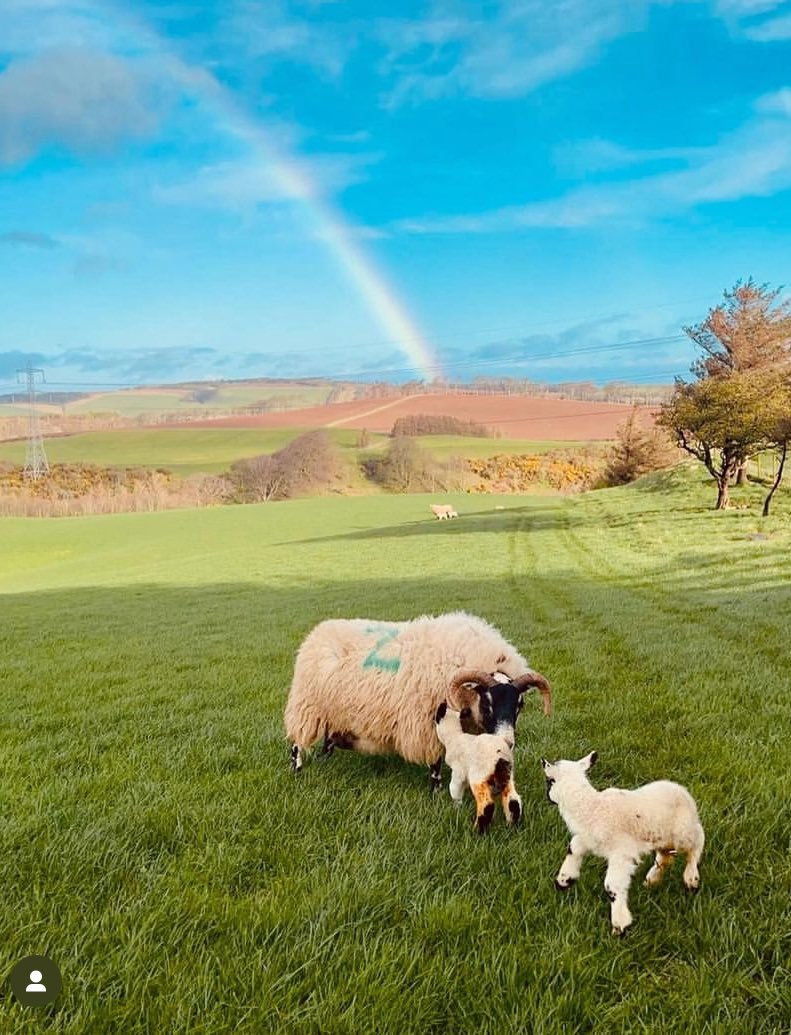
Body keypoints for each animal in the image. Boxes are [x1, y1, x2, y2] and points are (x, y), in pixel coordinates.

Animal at [283, 604, 550, 782]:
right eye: (487, 703)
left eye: (520, 705)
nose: (508, 741)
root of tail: (317, 633)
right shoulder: (428, 724)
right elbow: (436, 763)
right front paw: (437, 790)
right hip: (306, 707)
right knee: (296, 742)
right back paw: (297, 770)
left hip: (333, 710)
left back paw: (325, 757)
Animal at [432, 695, 519, 832]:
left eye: (436, 717)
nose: (431, 719)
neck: (454, 737)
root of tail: (500, 756)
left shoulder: (458, 770)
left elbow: (454, 789)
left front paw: (457, 807)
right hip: (508, 775)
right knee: (513, 800)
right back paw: (512, 826)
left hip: (479, 776)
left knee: (487, 804)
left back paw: (478, 830)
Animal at [542, 753, 704, 939]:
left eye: (549, 781)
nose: (548, 797)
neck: (591, 807)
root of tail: (684, 792)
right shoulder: (588, 839)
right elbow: (573, 848)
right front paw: (563, 881)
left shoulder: (622, 852)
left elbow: (612, 886)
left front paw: (620, 927)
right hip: (661, 836)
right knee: (666, 857)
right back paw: (652, 880)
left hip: (683, 831)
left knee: (697, 841)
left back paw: (691, 878)